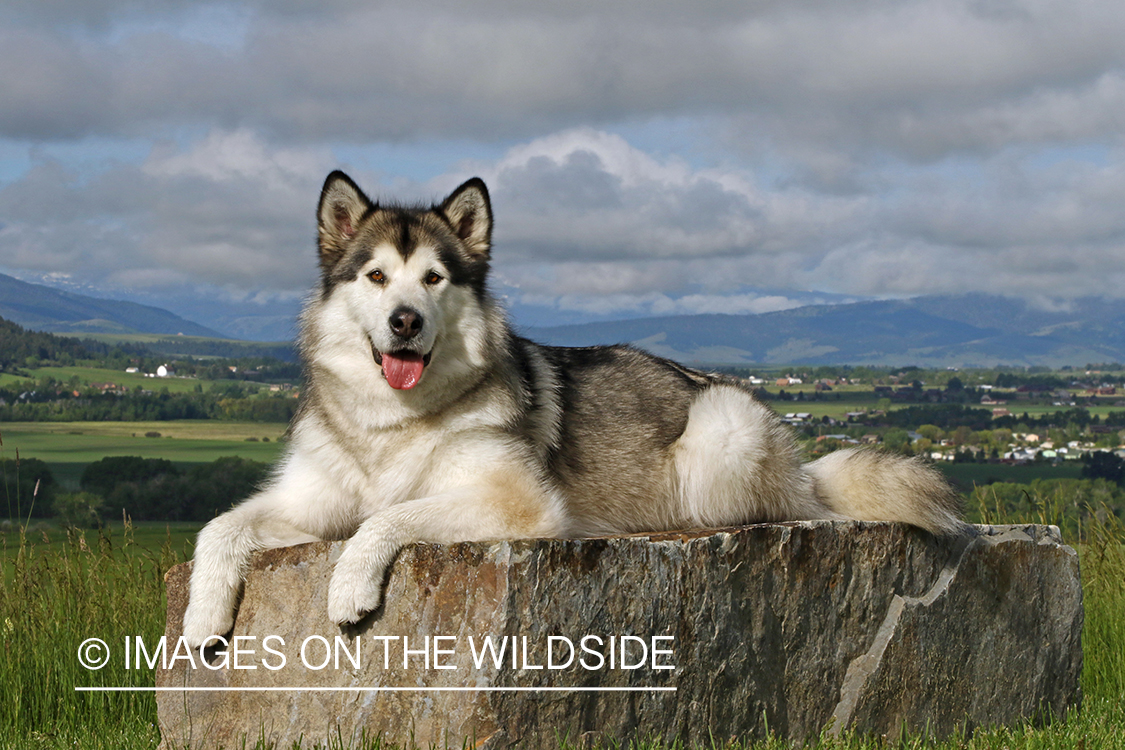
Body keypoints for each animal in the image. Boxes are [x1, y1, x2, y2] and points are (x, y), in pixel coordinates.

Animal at [180, 169, 963, 647]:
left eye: (433, 278)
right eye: (375, 276)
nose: (405, 320)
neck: (392, 422)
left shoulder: (516, 503)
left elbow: (386, 517)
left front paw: (349, 585)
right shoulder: (307, 502)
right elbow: (218, 527)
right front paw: (201, 618)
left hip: (720, 439)